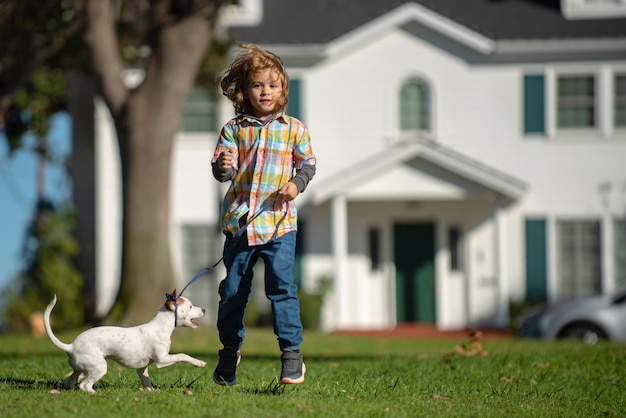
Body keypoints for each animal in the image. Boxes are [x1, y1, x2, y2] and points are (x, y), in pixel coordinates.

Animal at [42, 290, 207, 392]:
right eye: (190, 306)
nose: (204, 309)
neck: (160, 326)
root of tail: (71, 346)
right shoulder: (162, 360)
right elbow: (183, 355)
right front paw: (199, 363)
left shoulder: (142, 368)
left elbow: (146, 380)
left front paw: (150, 391)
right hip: (99, 367)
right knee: (84, 385)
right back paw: (95, 393)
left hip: (80, 369)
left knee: (70, 381)